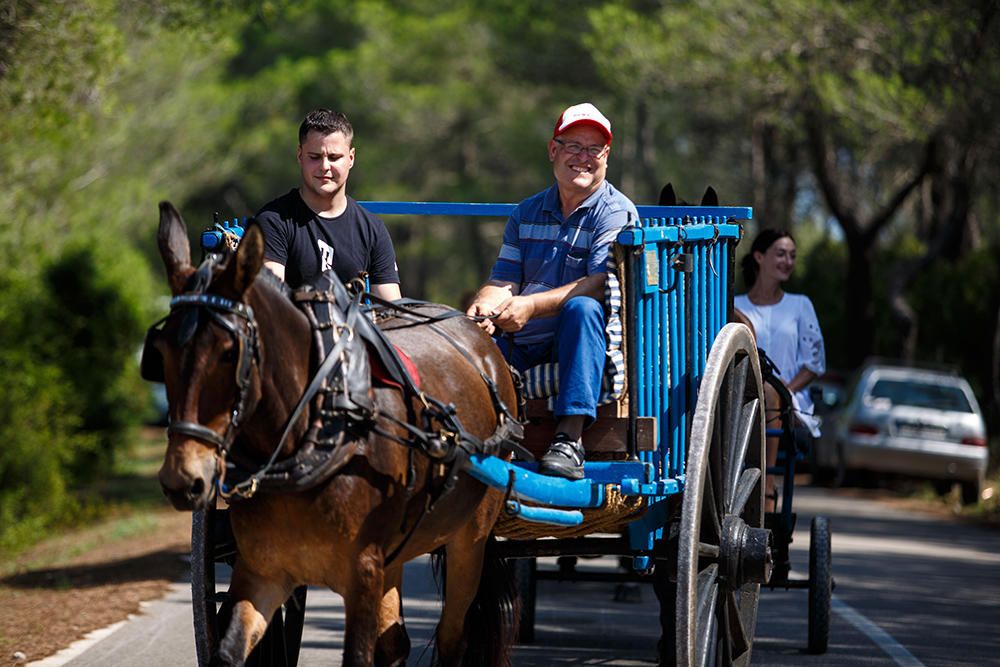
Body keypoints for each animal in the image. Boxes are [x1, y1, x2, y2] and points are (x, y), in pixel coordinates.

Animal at [149, 201, 524, 664]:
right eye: (160, 351)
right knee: (395, 640)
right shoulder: (262, 572)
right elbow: (229, 651)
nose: (182, 479)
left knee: (454, 635)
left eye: (228, 352)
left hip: (469, 540)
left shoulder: (362, 572)